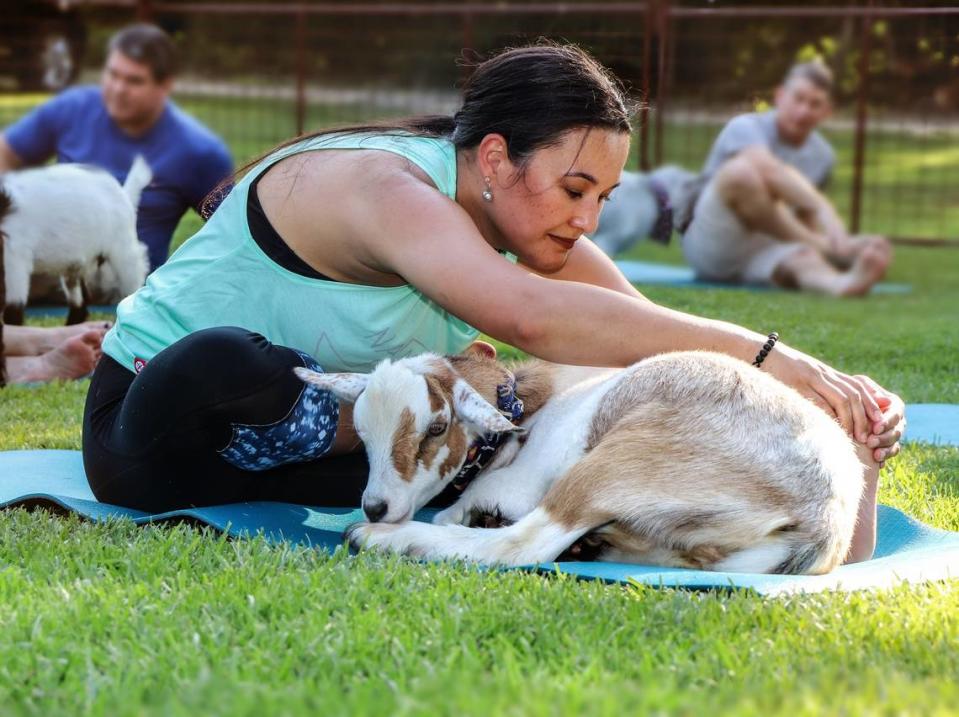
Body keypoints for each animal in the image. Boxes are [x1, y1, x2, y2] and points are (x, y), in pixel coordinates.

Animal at [0, 158, 151, 326]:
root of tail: (124, 194)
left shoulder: (15, 254)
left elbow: (13, 309)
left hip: (123, 250)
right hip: (73, 265)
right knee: (79, 303)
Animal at [296, 346, 868, 576]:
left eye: (436, 427)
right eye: (362, 432)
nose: (376, 507)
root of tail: (824, 518)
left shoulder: (520, 482)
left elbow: (470, 510)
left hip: (613, 466)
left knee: (520, 546)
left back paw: (385, 540)